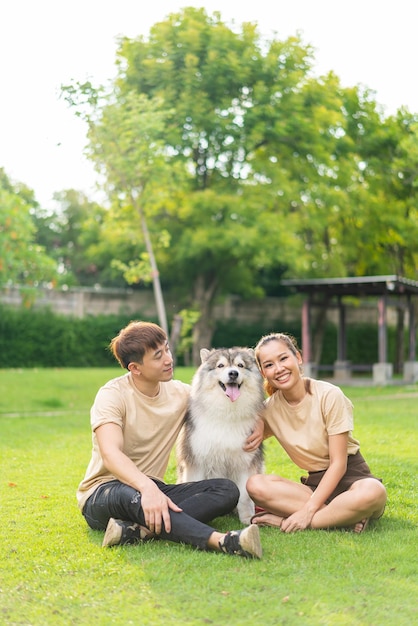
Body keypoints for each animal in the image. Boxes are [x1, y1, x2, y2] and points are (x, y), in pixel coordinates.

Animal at [177, 346, 264, 520]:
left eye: (240, 365)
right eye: (220, 365)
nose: (233, 373)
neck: (227, 412)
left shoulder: (245, 462)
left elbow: (245, 496)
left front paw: (247, 518)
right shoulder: (196, 461)